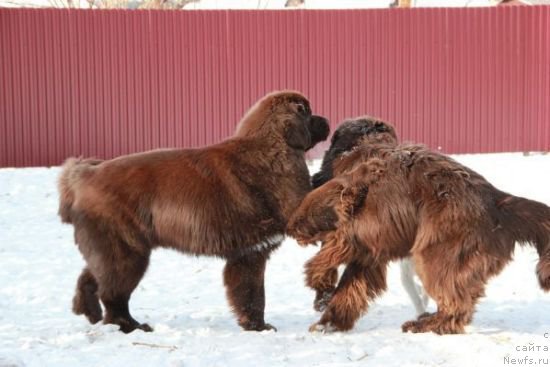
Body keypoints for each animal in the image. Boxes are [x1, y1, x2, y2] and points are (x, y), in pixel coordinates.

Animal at [58, 90, 330, 334]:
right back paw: (130, 326)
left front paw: (254, 325)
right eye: (307, 112)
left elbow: (250, 294)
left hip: (112, 251)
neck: (270, 149)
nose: (326, 120)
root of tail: (85, 175)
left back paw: (89, 311)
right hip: (127, 253)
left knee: (91, 278)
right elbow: (252, 295)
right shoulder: (254, 251)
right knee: (113, 295)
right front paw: (258, 327)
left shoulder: (248, 254)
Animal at [288, 118, 550, 336]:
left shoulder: (369, 228)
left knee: (455, 305)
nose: (315, 179)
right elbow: (349, 286)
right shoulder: (372, 250)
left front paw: (319, 281)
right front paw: (330, 321)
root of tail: (499, 202)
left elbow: (333, 248)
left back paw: (425, 324)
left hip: (435, 255)